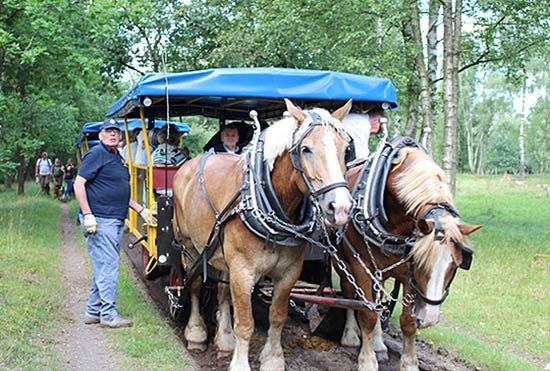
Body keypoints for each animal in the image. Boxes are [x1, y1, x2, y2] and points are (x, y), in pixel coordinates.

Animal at [172, 99, 354, 371]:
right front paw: (240, 364)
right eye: (306, 149)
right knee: (193, 286)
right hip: (189, 246)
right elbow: (245, 323)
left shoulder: (289, 273)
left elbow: (277, 317)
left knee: (223, 294)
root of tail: (187, 166)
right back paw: (196, 333)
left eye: (345, 150)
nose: (340, 208)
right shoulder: (243, 271)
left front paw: (273, 359)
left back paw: (224, 340)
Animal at [336, 140, 484, 371]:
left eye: (455, 266)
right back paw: (351, 337)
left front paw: (409, 363)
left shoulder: (407, 275)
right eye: (421, 263)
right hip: (342, 260)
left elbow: (407, 321)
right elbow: (367, 313)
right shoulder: (362, 265)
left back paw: (379, 344)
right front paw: (367, 361)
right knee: (348, 291)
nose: (430, 319)